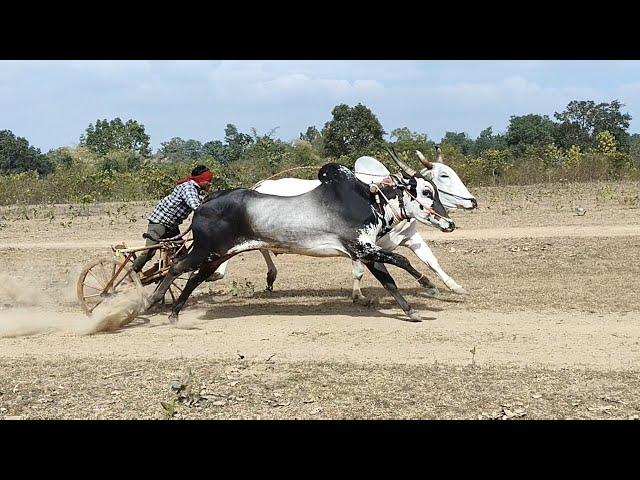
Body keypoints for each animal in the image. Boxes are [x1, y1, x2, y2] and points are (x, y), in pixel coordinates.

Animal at [146, 156, 456, 324]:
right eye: (427, 191)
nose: (450, 223)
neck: (370, 200)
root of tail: (205, 203)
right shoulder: (361, 247)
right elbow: (401, 259)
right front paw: (429, 286)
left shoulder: (366, 253)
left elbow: (389, 281)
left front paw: (412, 310)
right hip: (206, 251)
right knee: (177, 268)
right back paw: (154, 301)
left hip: (218, 255)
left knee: (193, 278)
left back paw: (174, 312)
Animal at [212, 146, 478, 300]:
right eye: (443, 176)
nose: (473, 201)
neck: (382, 198)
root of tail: (260, 185)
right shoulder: (363, 244)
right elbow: (360, 270)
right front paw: (357, 294)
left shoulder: (410, 238)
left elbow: (431, 261)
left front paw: (454, 287)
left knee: (262, 249)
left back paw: (268, 277)